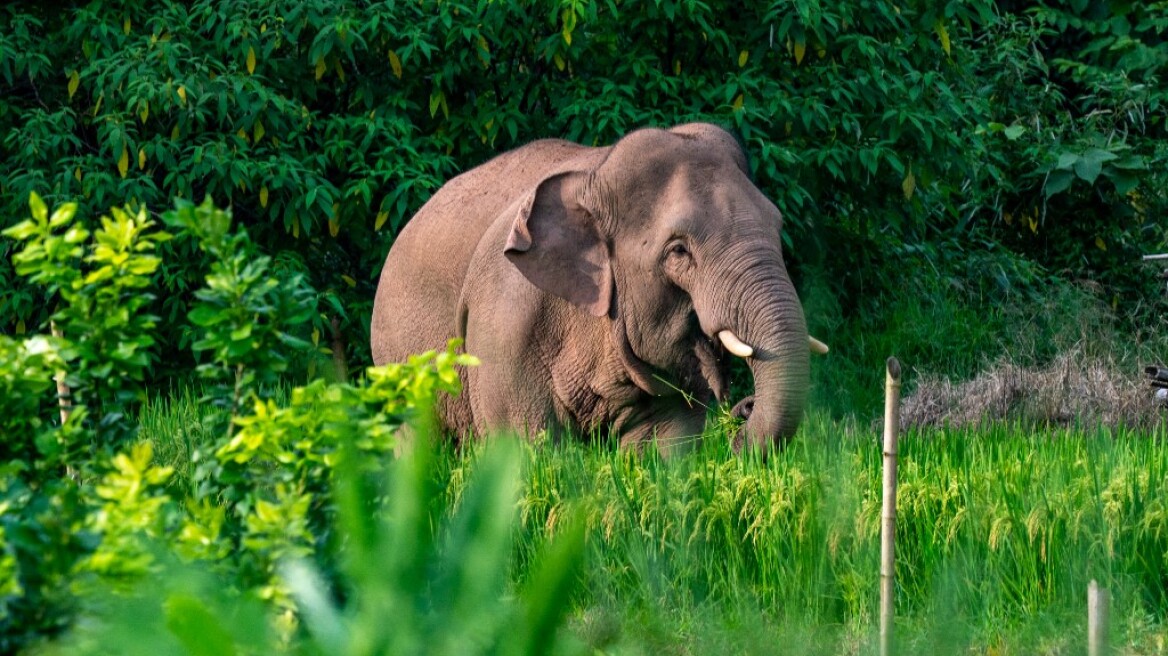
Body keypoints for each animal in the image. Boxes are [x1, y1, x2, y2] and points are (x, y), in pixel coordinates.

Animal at [369, 122, 826, 452]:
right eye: (679, 251)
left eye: (777, 226)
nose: (742, 410)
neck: (596, 174)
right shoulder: (504, 323)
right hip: (399, 361)